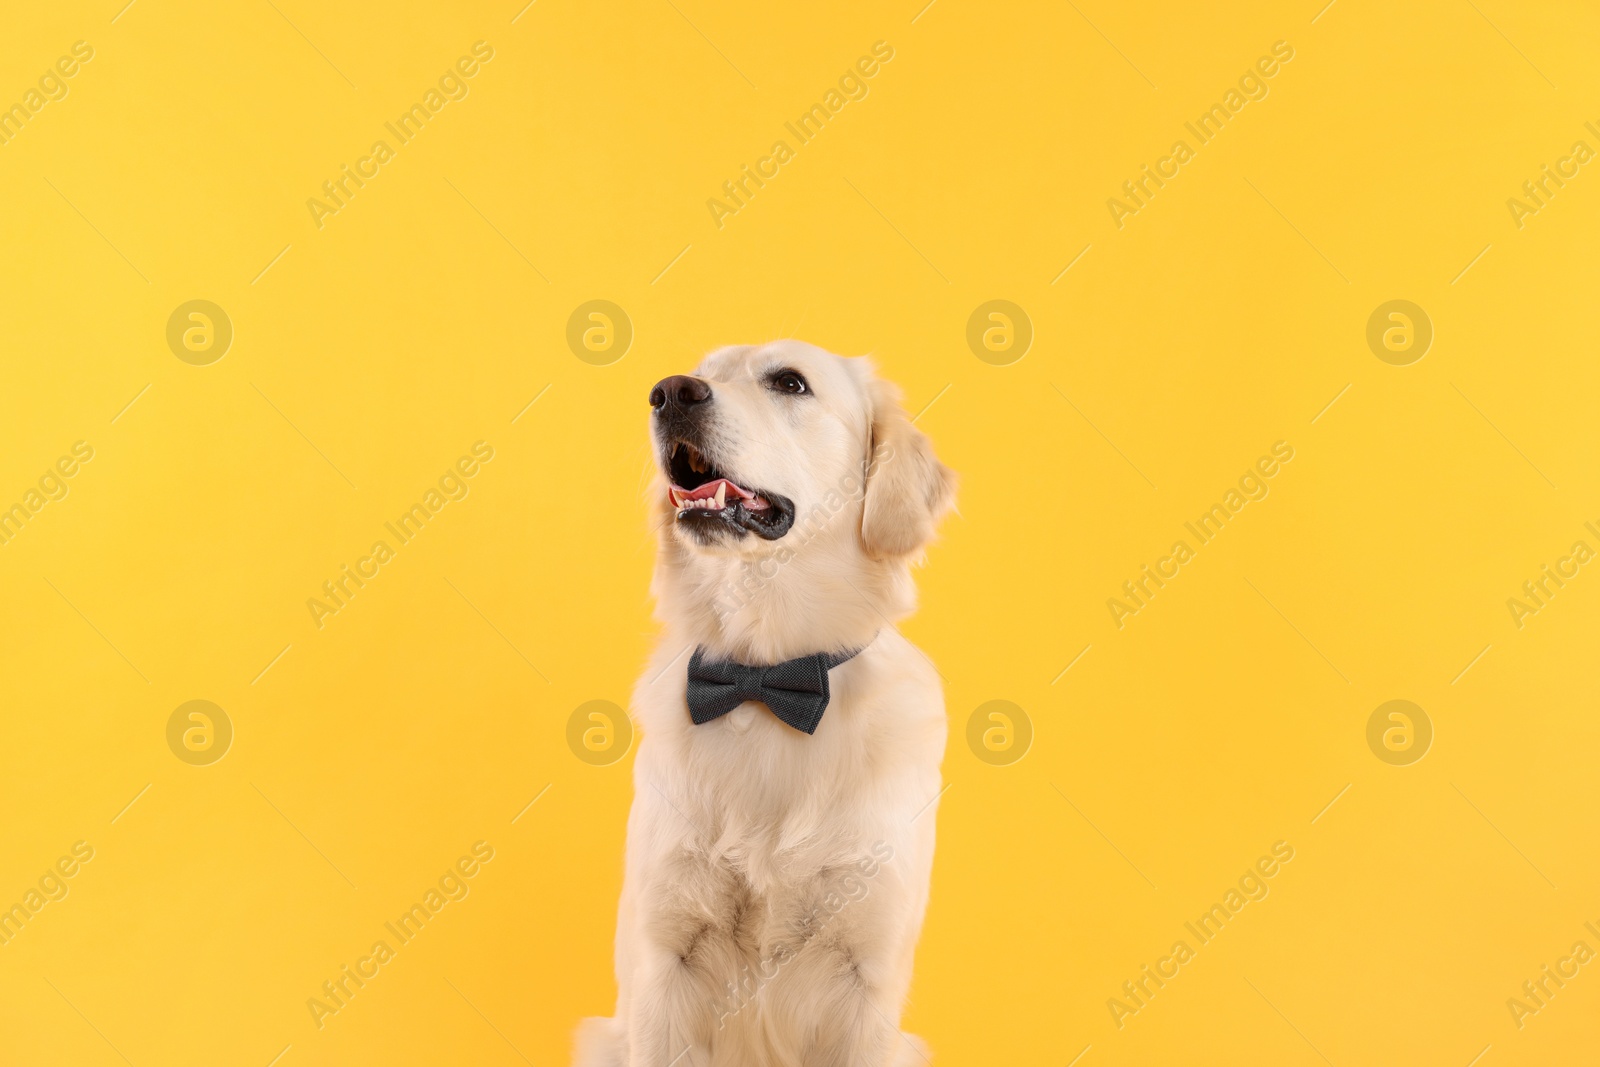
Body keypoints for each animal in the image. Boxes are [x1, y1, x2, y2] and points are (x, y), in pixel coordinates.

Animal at [576, 343, 947, 1067]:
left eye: (790, 382)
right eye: (701, 372)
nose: (670, 393)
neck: (767, 678)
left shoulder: (866, 972)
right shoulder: (666, 960)